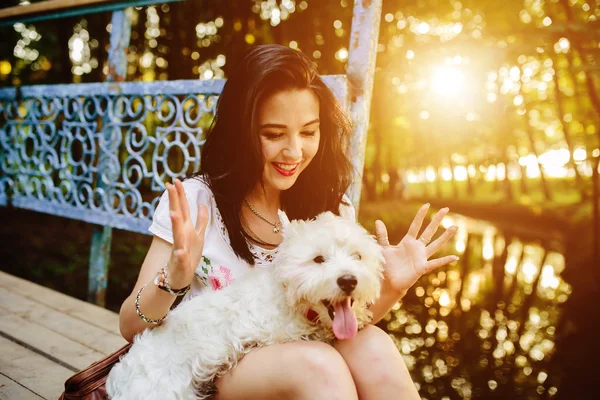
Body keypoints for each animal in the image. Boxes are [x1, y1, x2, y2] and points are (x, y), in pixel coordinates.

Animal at [105, 211, 382, 398]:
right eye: (318, 259)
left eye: (358, 256)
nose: (348, 280)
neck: (286, 293)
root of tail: (121, 373)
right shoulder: (276, 329)